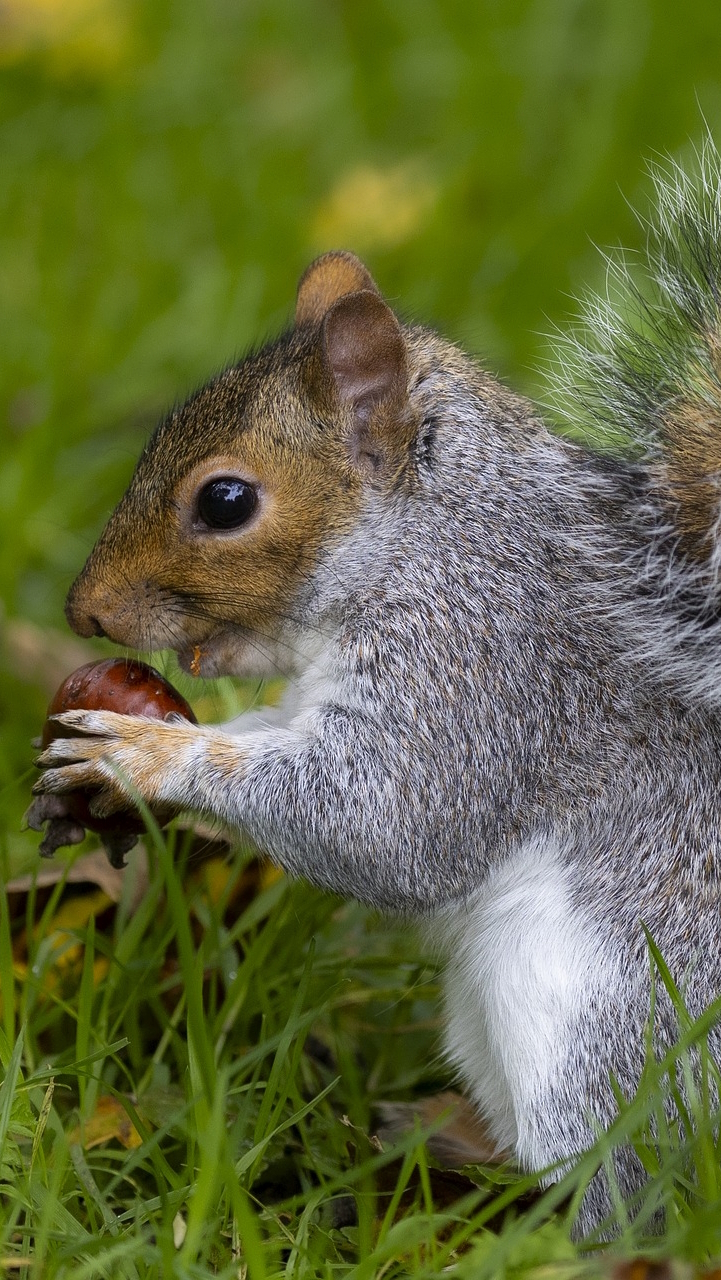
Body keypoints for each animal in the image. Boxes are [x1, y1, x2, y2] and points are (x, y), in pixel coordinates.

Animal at [32, 142, 721, 1239]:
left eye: (225, 500)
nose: (84, 611)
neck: (426, 533)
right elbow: (281, 739)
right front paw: (90, 775)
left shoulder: (478, 662)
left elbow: (386, 824)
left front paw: (147, 755)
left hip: (608, 1023)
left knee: (629, 1183)